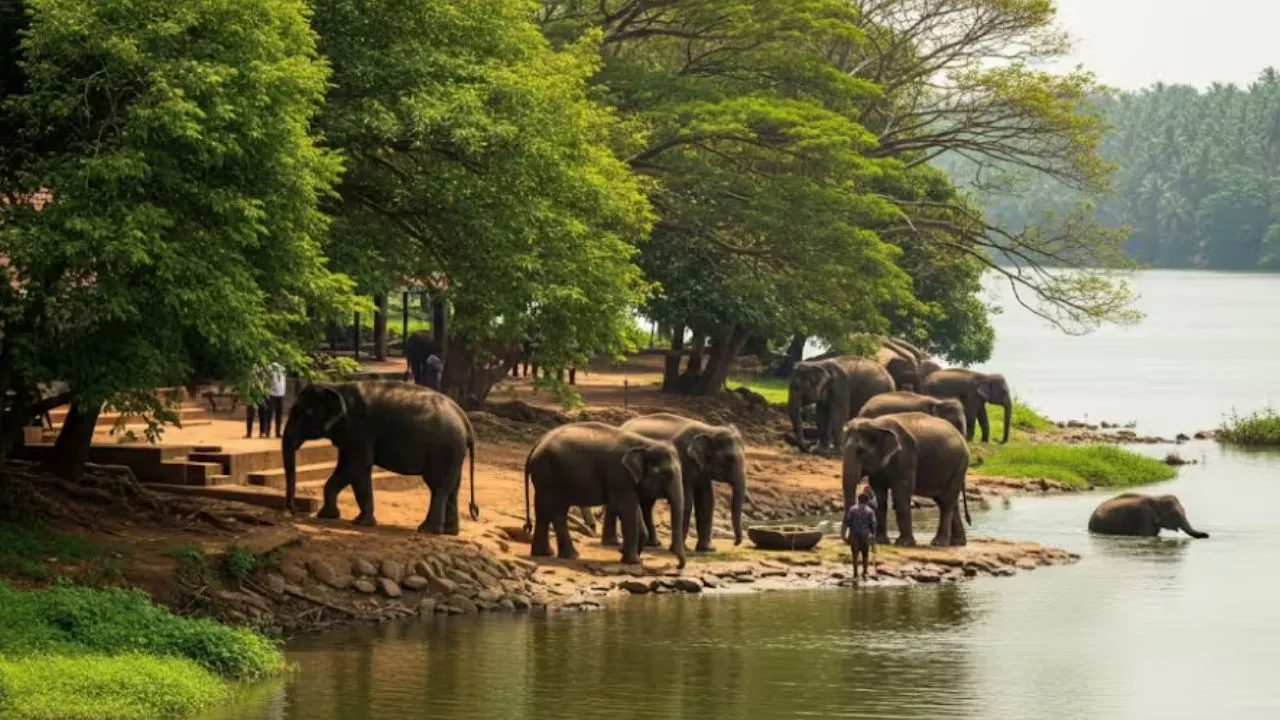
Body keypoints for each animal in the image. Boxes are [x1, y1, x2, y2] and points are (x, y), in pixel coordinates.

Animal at [282, 381, 477, 533]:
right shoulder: (348, 436)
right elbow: (344, 468)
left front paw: (361, 523)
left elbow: (357, 467)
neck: (337, 387)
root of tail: (465, 421)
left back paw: (427, 530)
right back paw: (450, 532)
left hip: (444, 450)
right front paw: (327, 516)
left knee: (438, 486)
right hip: (453, 452)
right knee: (453, 487)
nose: (295, 511)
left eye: (302, 413)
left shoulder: (359, 430)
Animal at [523, 422, 686, 568]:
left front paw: (632, 556)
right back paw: (572, 555)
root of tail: (536, 444)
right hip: (551, 476)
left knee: (544, 509)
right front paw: (634, 561)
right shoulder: (619, 475)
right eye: (664, 474)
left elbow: (634, 510)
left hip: (545, 478)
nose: (677, 566)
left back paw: (544, 553)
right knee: (556, 510)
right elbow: (627, 509)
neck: (645, 443)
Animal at [590, 413, 746, 553]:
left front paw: (707, 549)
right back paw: (612, 543)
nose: (736, 543)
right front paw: (682, 550)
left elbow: (706, 500)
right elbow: (687, 500)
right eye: (729, 458)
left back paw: (652, 544)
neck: (709, 429)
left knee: (647, 503)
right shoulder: (683, 460)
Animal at [841, 412, 971, 547]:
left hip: (960, 464)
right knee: (947, 500)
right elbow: (880, 497)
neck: (876, 423)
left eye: (861, 452)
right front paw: (879, 541)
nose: (848, 540)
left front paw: (904, 543)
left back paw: (938, 543)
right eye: (842, 450)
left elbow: (901, 493)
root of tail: (961, 437)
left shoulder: (905, 456)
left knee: (946, 502)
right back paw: (957, 542)